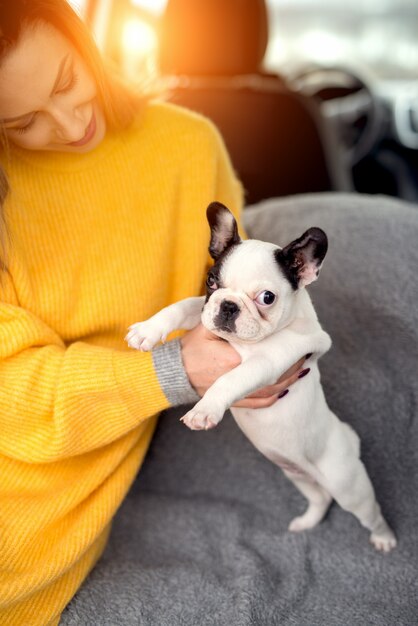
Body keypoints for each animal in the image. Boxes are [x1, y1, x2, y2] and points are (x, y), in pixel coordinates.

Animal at [125, 201, 396, 552]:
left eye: (267, 298)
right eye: (210, 281)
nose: (229, 306)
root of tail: (347, 437)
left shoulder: (268, 363)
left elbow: (229, 380)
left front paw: (204, 410)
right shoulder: (204, 310)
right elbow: (182, 306)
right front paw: (147, 331)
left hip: (348, 485)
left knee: (370, 510)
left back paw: (384, 538)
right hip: (296, 474)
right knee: (320, 498)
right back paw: (307, 522)